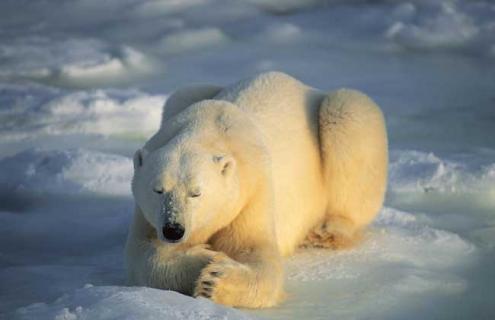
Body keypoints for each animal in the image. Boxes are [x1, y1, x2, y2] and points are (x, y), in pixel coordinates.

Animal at [126, 72, 390, 308]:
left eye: (196, 192)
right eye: (158, 190)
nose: (173, 230)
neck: (209, 129)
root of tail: (305, 86)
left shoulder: (253, 189)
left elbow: (257, 251)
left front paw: (214, 280)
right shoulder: (148, 215)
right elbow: (144, 255)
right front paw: (205, 257)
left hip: (339, 117)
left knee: (349, 116)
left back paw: (327, 232)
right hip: (184, 96)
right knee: (182, 92)